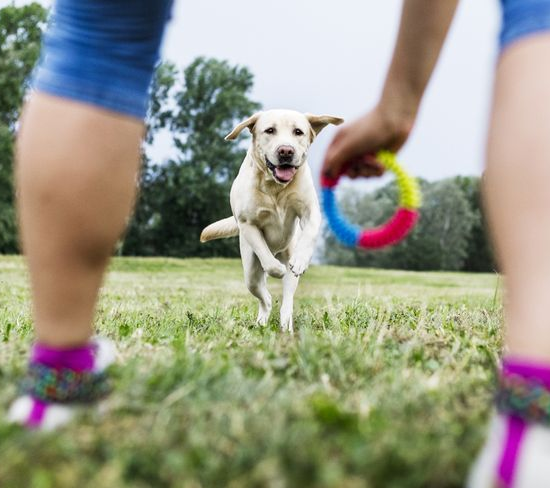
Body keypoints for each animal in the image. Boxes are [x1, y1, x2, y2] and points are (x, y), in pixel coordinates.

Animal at [201, 109, 342, 334]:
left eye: (298, 132)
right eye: (269, 130)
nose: (286, 151)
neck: (275, 186)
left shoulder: (310, 212)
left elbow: (309, 234)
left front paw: (301, 260)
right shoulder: (247, 223)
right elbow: (265, 255)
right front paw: (276, 269)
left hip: (288, 258)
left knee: (287, 298)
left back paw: (286, 323)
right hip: (250, 272)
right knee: (264, 295)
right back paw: (263, 319)